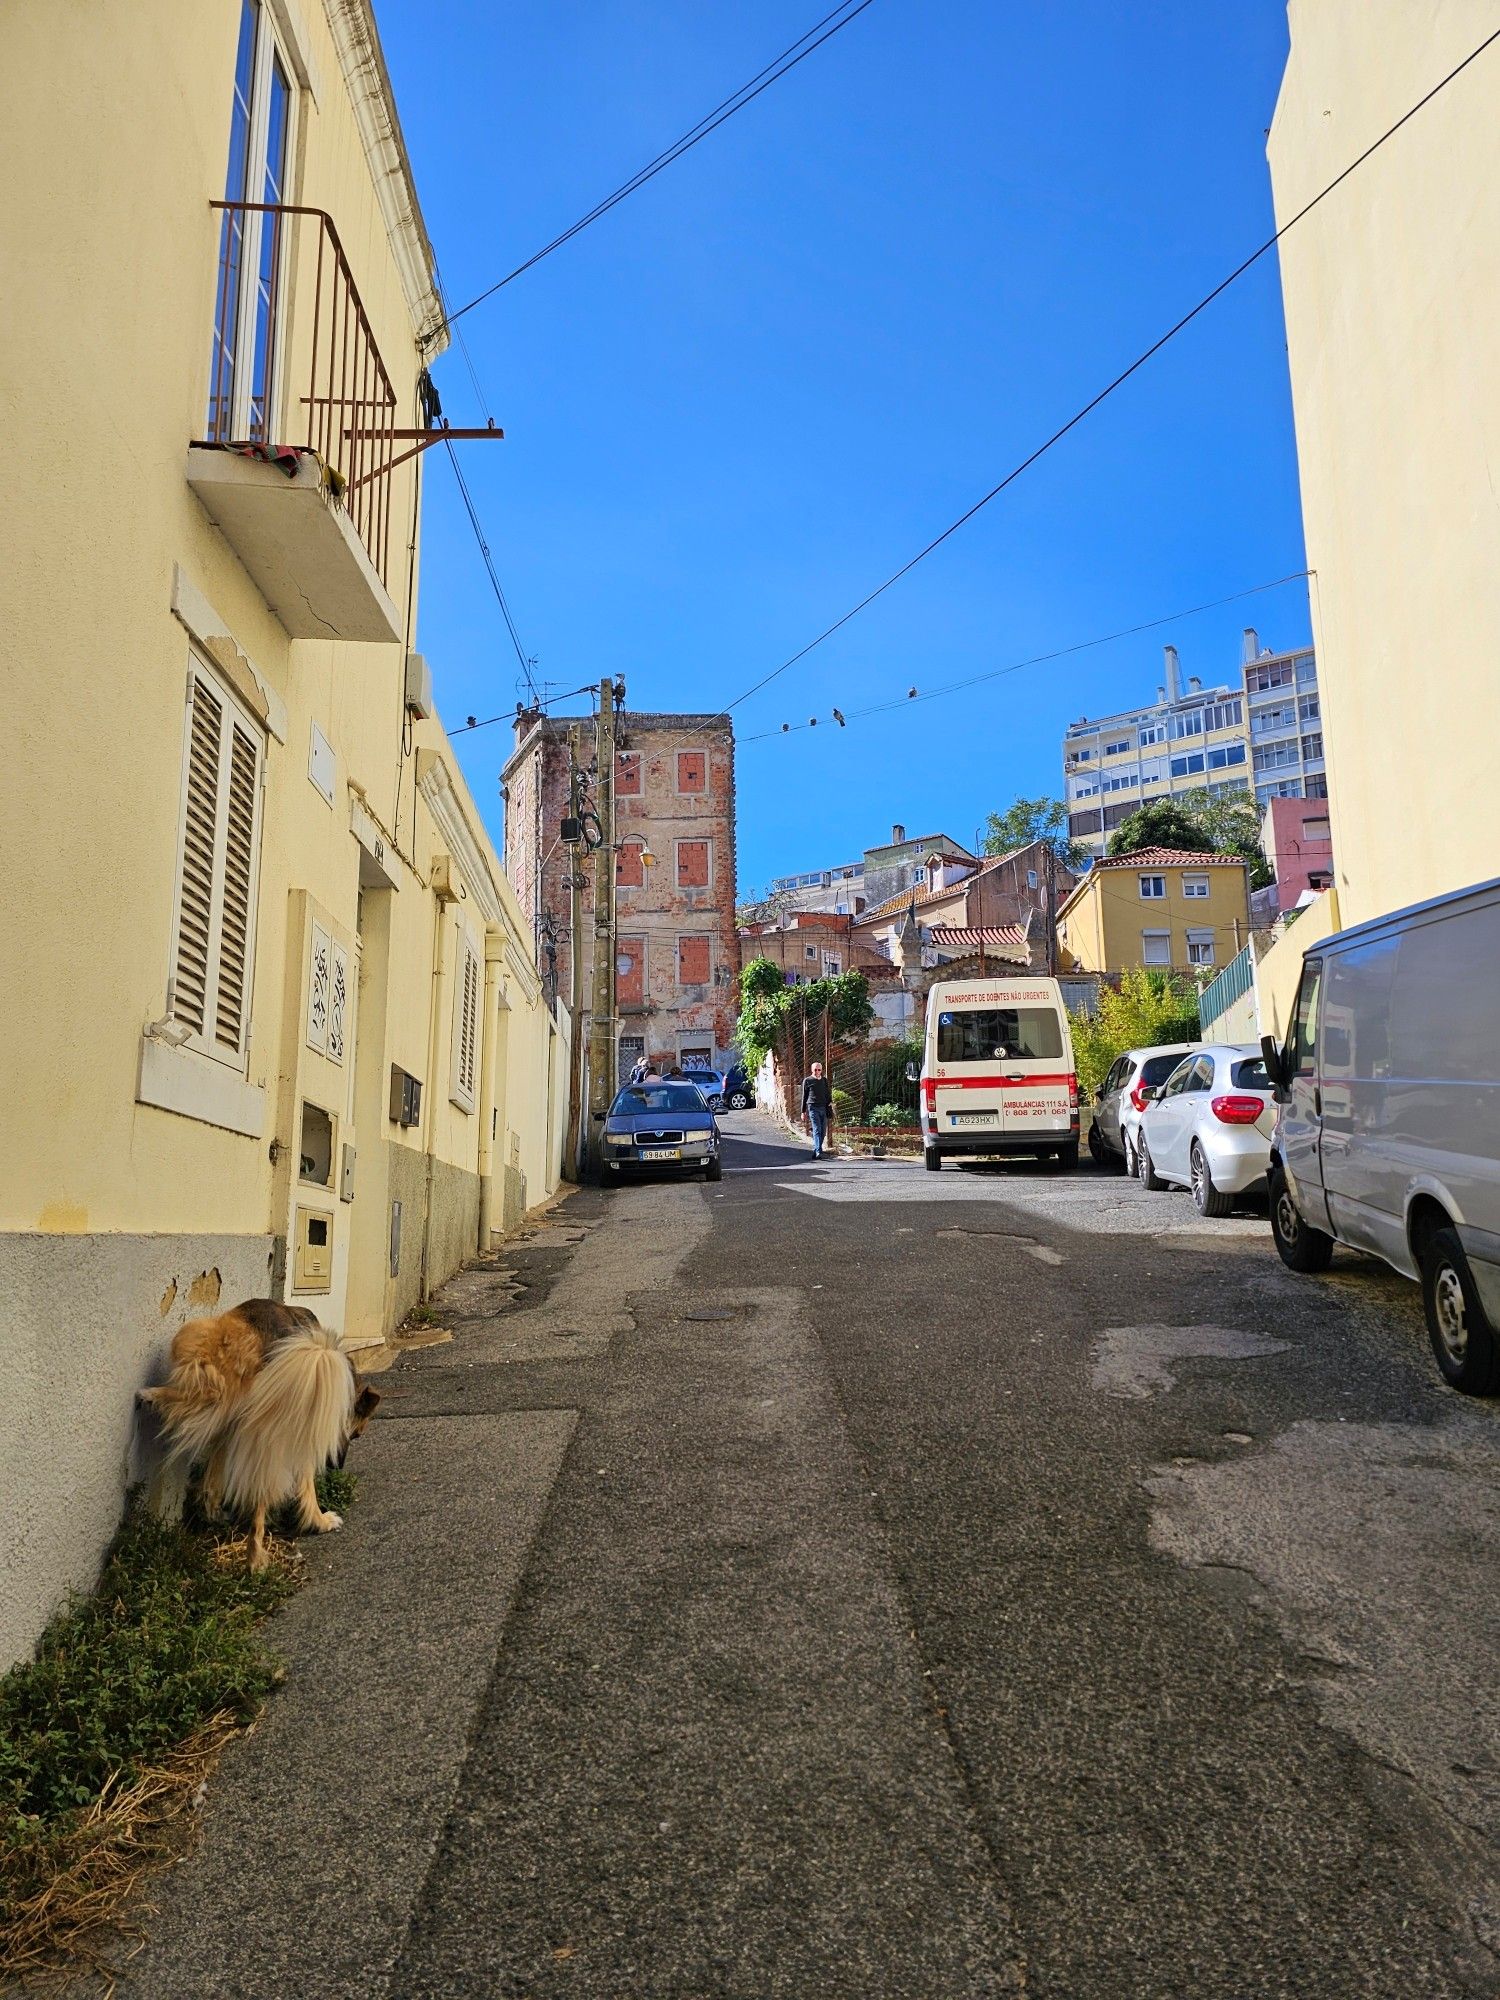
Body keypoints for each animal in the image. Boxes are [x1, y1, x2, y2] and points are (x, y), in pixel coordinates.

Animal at [140, 1296, 382, 1560]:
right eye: (356, 1434)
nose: (337, 1467)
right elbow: (305, 1483)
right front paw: (319, 1520)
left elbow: (215, 1474)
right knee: (264, 1490)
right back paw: (256, 1554)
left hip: (202, 1344)